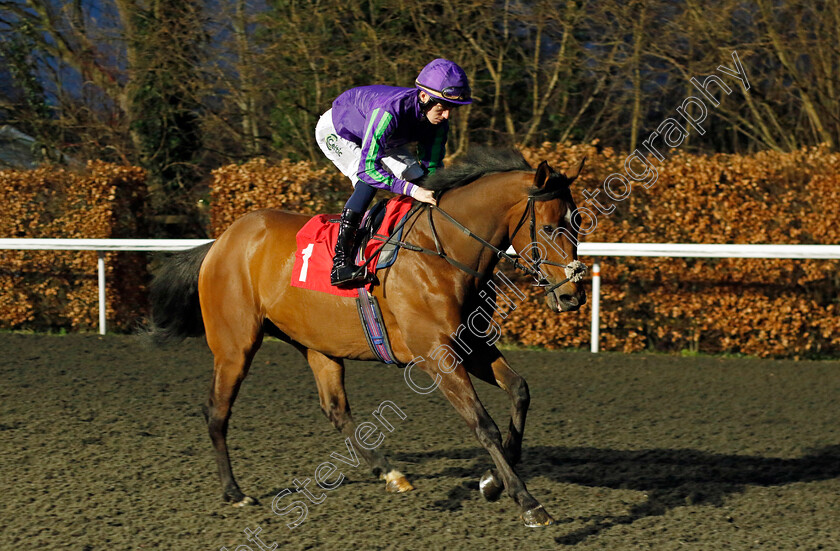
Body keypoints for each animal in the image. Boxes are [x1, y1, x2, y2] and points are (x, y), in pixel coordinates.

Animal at [148, 149, 584, 528]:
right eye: (549, 227)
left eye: (578, 222)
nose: (571, 295)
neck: (442, 250)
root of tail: (220, 242)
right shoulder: (436, 353)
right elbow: (482, 423)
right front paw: (527, 501)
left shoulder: (470, 344)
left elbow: (520, 390)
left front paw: (492, 482)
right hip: (235, 346)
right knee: (216, 410)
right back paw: (234, 491)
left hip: (316, 345)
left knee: (335, 409)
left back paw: (388, 472)